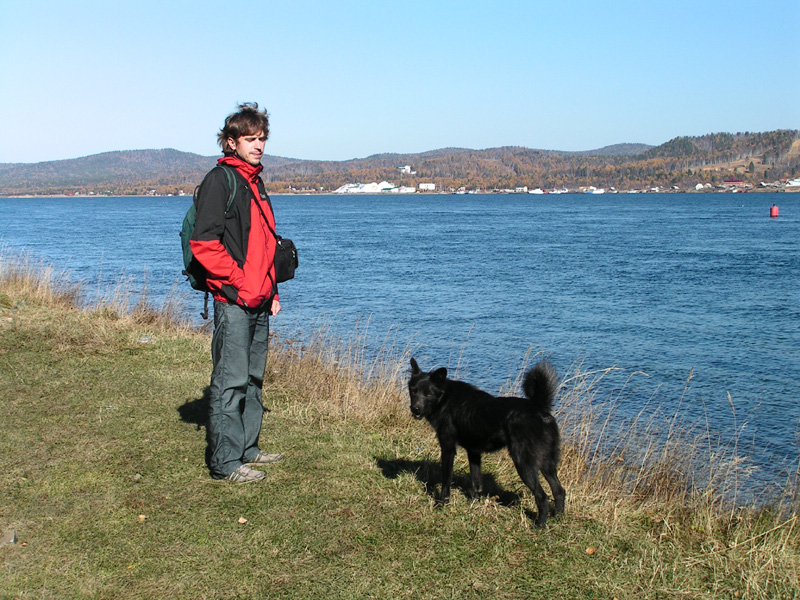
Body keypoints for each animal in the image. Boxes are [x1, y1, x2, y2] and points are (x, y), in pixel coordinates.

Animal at [410, 356, 564, 524]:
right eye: (413, 391)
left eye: (428, 394)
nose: (415, 409)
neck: (445, 398)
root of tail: (539, 409)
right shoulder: (474, 451)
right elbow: (476, 481)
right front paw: (473, 504)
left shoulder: (448, 448)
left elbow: (446, 480)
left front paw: (442, 503)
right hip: (547, 464)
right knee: (559, 491)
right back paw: (557, 517)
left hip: (524, 463)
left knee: (542, 496)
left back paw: (539, 525)